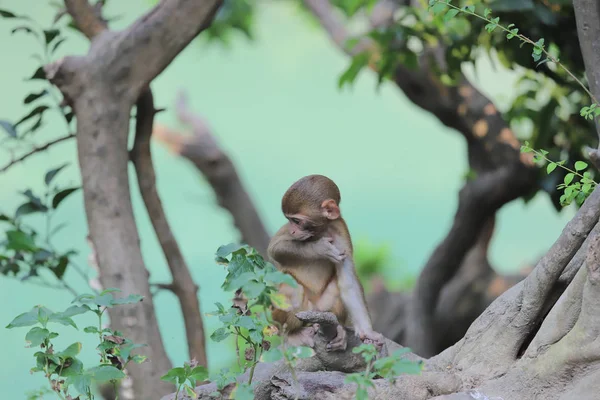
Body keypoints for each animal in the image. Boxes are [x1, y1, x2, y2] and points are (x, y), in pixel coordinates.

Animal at [268, 174, 384, 350]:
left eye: (297, 221)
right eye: (289, 220)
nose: (293, 230)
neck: (321, 230)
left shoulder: (340, 229)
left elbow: (348, 283)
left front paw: (368, 332)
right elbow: (274, 248)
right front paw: (320, 248)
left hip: (321, 310)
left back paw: (339, 330)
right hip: (288, 312)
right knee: (293, 289)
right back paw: (293, 334)